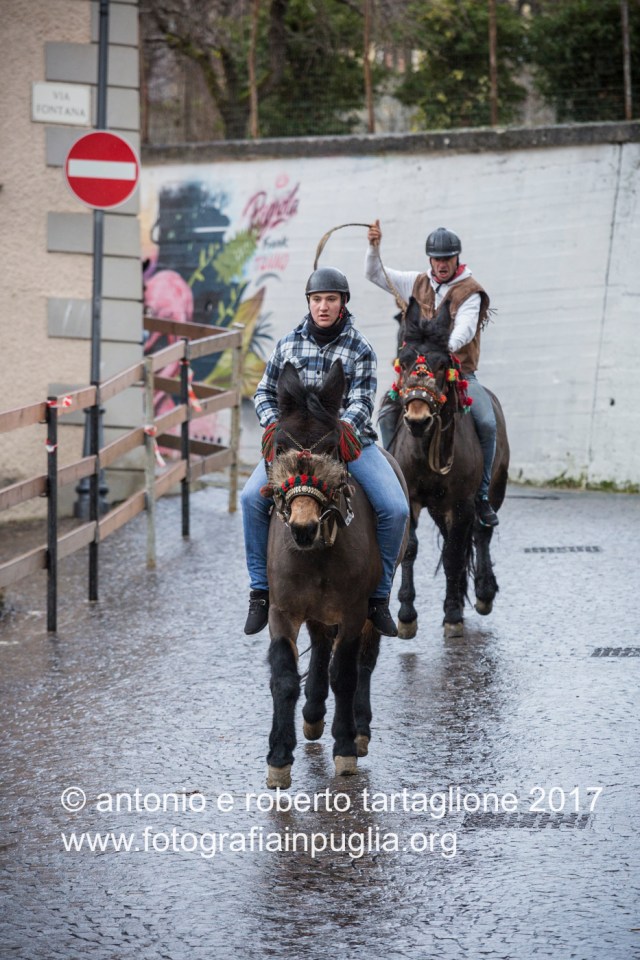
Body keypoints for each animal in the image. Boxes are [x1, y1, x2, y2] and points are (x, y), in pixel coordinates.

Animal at [259, 360, 408, 789]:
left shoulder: (355, 610)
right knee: (321, 644)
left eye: (330, 448)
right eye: (280, 447)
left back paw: (359, 730)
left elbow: (345, 672)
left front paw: (344, 748)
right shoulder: (283, 610)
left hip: (374, 606)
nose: (303, 527)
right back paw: (311, 716)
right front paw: (279, 758)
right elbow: (284, 675)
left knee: (364, 661)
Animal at [387, 296, 509, 639]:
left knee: (481, 533)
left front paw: (453, 614)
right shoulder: (413, 499)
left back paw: (483, 594)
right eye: (404, 360)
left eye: (443, 364)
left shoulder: (461, 503)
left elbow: (455, 554)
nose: (418, 419)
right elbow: (411, 548)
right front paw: (406, 615)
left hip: (492, 491)